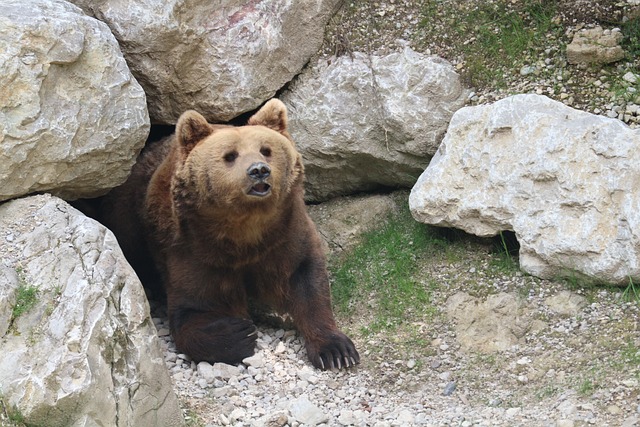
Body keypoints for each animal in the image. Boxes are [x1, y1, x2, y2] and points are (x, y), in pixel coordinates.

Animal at [100, 98, 360, 370]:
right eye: (230, 156)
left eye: (266, 150)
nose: (259, 170)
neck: (245, 230)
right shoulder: (192, 249)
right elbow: (195, 307)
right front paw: (240, 333)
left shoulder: (285, 234)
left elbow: (306, 282)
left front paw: (337, 351)